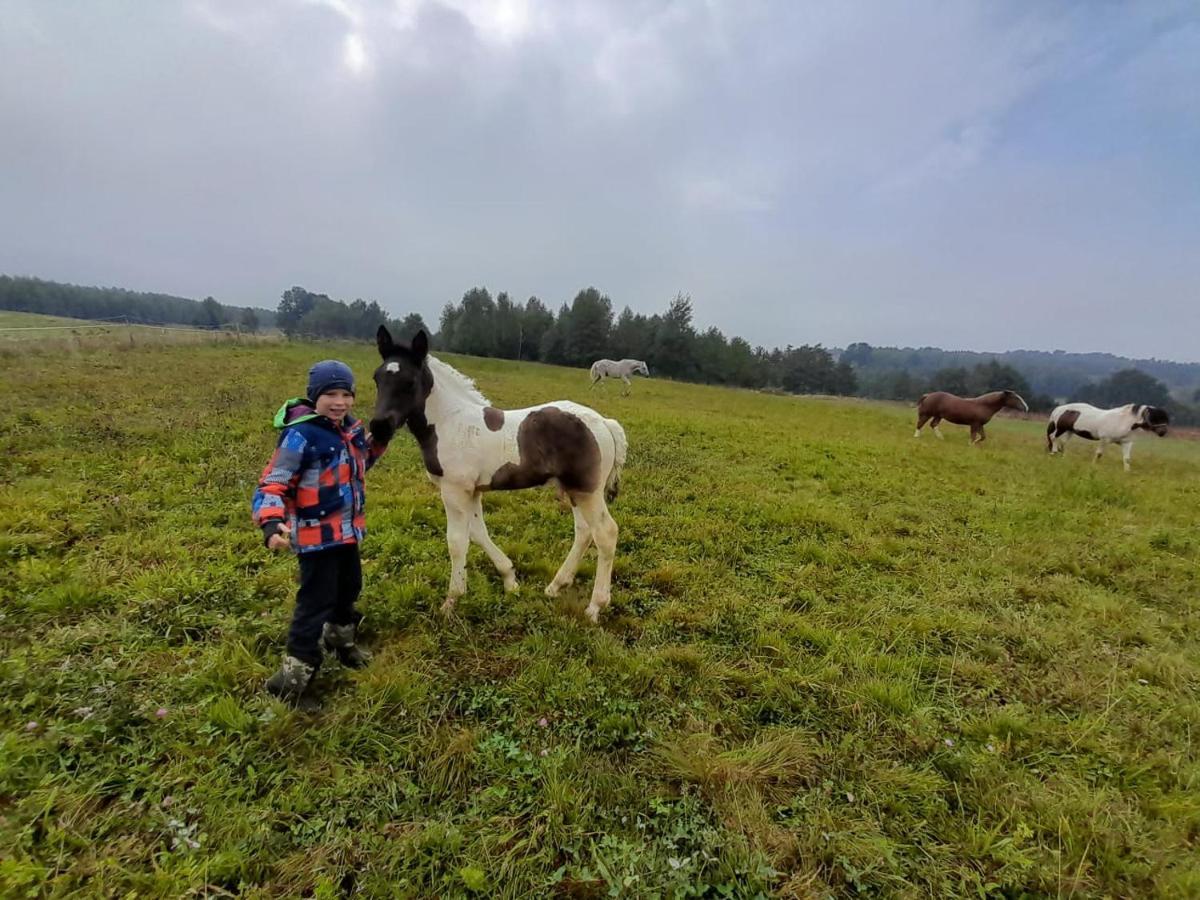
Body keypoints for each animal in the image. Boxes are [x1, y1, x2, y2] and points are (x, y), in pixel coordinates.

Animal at [367, 328, 628, 624]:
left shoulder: (454, 490)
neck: (449, 422)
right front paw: (510, 580)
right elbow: (478, 533)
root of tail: (605, 423)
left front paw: (451, 601)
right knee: (584, 531)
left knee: (605, 533)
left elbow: (457, 542)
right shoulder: (473, 490)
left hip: (587, 491)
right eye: (377, 378)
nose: (379, 427)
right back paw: (555, 586)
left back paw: (595, 607)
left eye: (409, 382)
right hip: (574, 490)